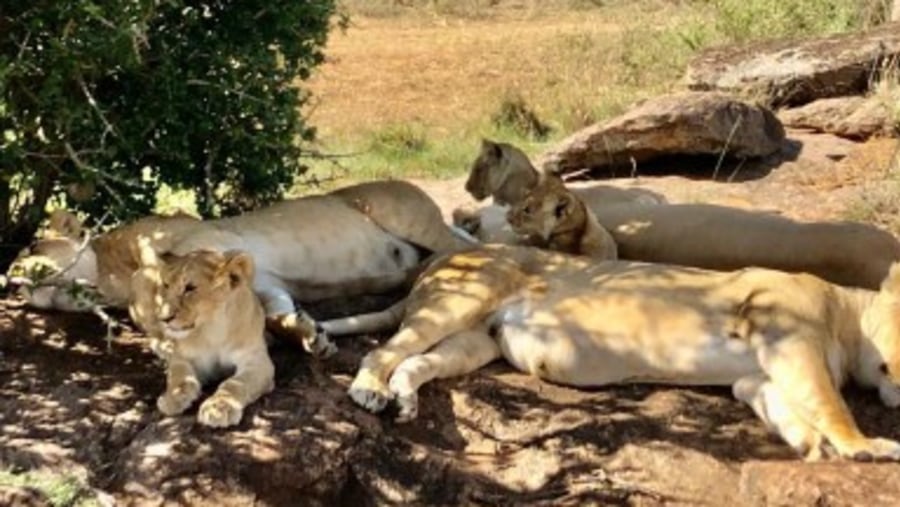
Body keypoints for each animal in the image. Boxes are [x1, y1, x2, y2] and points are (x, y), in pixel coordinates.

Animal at [8, 181, 472, 356]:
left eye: (32, 245)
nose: (16, 282)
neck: (116, 275)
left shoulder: (213, 249)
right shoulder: (265, 281)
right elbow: (275, 310)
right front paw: (306, 334)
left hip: (410, 218)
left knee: (472, 246)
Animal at [132, 246, 274, 428]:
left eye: (190, 288)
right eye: (166, 285)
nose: (164, 318)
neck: (213, 329)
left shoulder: (257, 361)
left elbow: (234, 383)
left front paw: (218, 408)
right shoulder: (182, 357)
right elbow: (179, 376)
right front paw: (173, 398)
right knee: (152, 332)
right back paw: (165, 347)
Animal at [348, 246, 900, 464]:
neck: (850, 313)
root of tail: (440, 255)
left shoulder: (758, 377)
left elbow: (789, 410)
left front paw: (815, 447)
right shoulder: (786, 333)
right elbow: (829, 401)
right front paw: (864, 446)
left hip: (476, 340)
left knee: (417, 361)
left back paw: (405, 400)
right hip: (464, 296)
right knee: (385, 351)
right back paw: (369, 392)